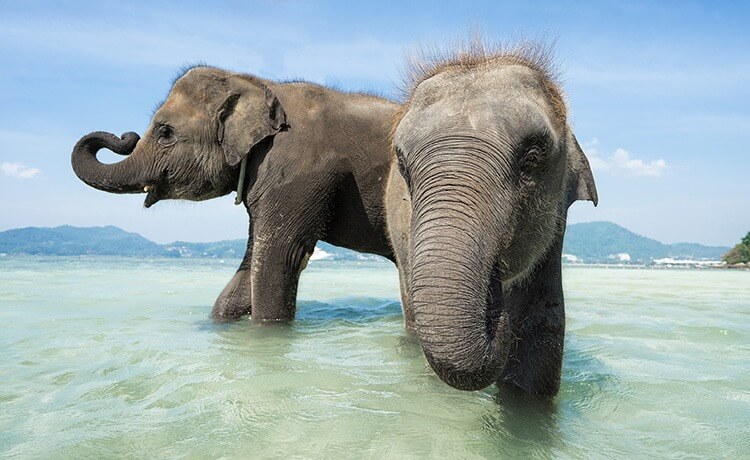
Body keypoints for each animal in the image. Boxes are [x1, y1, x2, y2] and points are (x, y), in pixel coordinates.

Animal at [72, 65, 402, 324]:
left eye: (165, 133)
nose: (126, 136)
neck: (256, 84)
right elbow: (252, 259)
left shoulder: (295, 171)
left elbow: (280, 256)